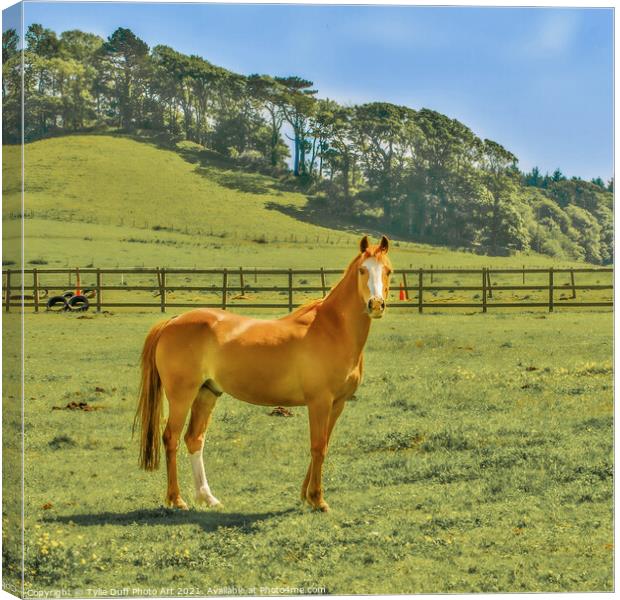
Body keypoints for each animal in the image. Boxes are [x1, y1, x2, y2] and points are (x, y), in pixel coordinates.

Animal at [137, 234, 392, 510]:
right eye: (362, 270)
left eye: (388, 270)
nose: (376, 304)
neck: (332, 328)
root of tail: (172, 321)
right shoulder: (320, 401)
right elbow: (317, 446)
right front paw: (318, 499)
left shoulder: (338, 403)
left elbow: (323, 445)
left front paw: (306, 495)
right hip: (182, 396)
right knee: (170, 438)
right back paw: (177, 499)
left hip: (207, 393)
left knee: (194, 439)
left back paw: (208, 497)